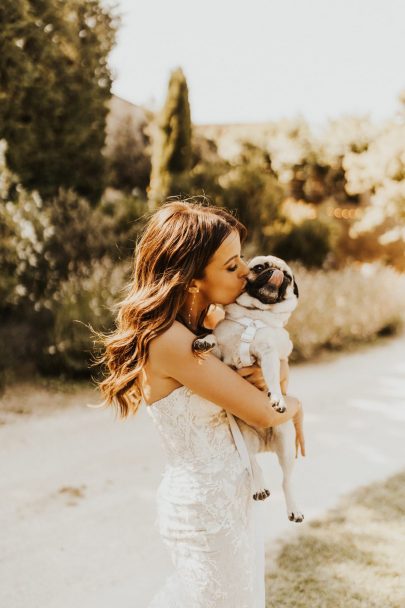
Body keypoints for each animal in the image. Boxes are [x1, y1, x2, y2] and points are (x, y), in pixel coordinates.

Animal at [193, 254, 304, 520]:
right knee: (253, 465)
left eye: (287, 277)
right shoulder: (221, 352)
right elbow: (213, 338)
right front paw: (204, 341)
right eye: (260, 267)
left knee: (286, 480)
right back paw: (259, 487)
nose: (276, 272)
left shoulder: (269, 355)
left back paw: (294, 508)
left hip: (286, 441)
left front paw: (277, 398)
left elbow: (272, 378)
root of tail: (265, 444)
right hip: (244, 438)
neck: (254, 317)